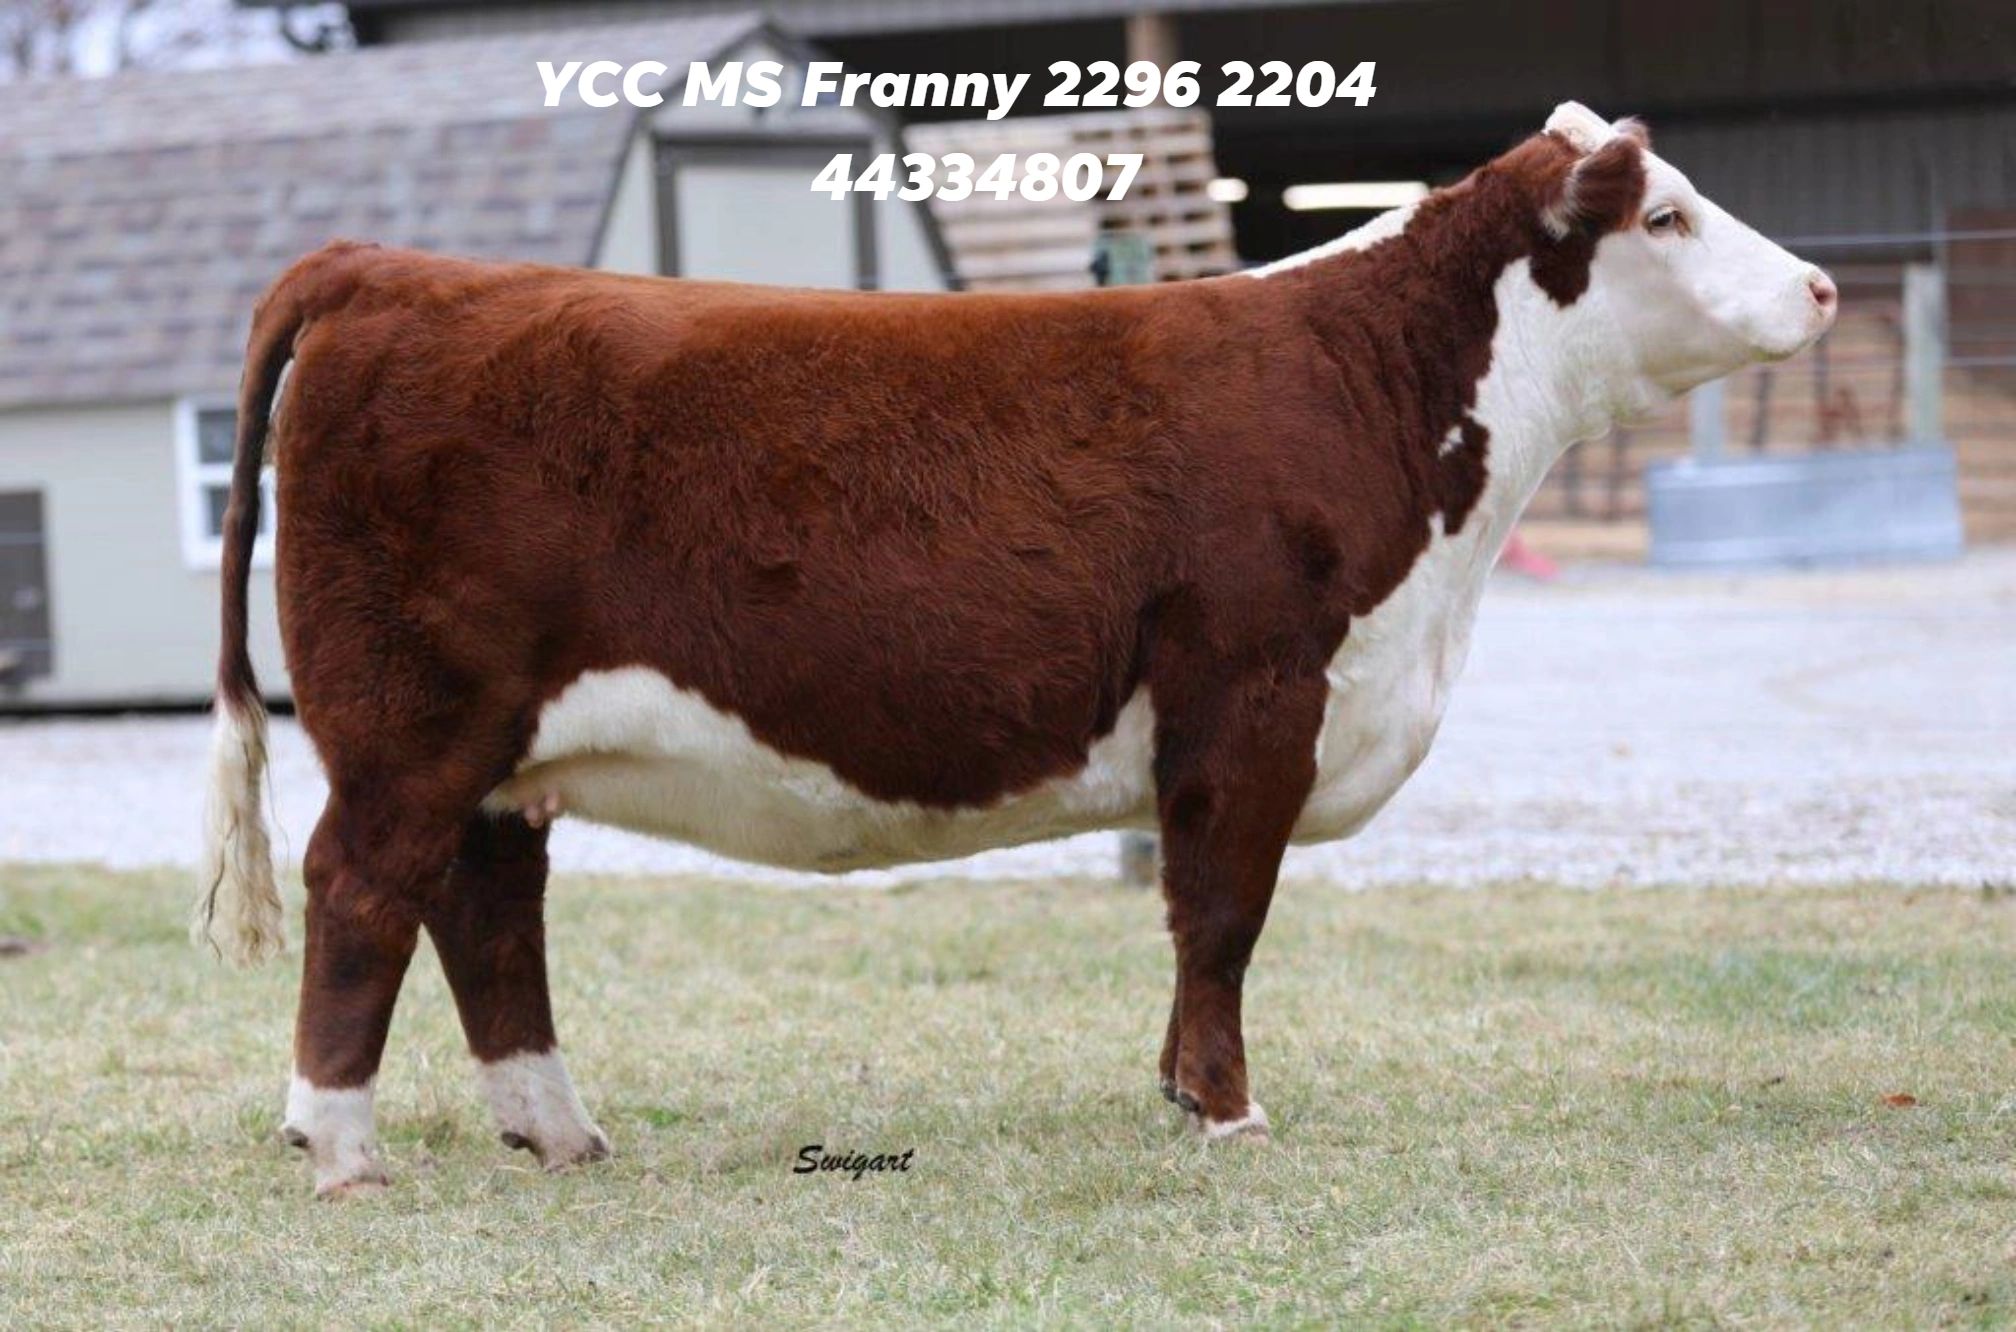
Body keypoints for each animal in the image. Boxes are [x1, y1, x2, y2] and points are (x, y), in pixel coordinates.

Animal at [197, 102, 1836, 1196]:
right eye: (1666, 217)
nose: (1821, 287)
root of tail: (386, 268)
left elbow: (1199, 924)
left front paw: (1179, 1095)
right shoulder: (1253, 695)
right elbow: (1221, 915)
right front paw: (1227, 1114)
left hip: (498, 748)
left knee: (486, 911)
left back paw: (556, 1132)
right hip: (413, 723)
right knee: (364, 889)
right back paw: (337, 1147)